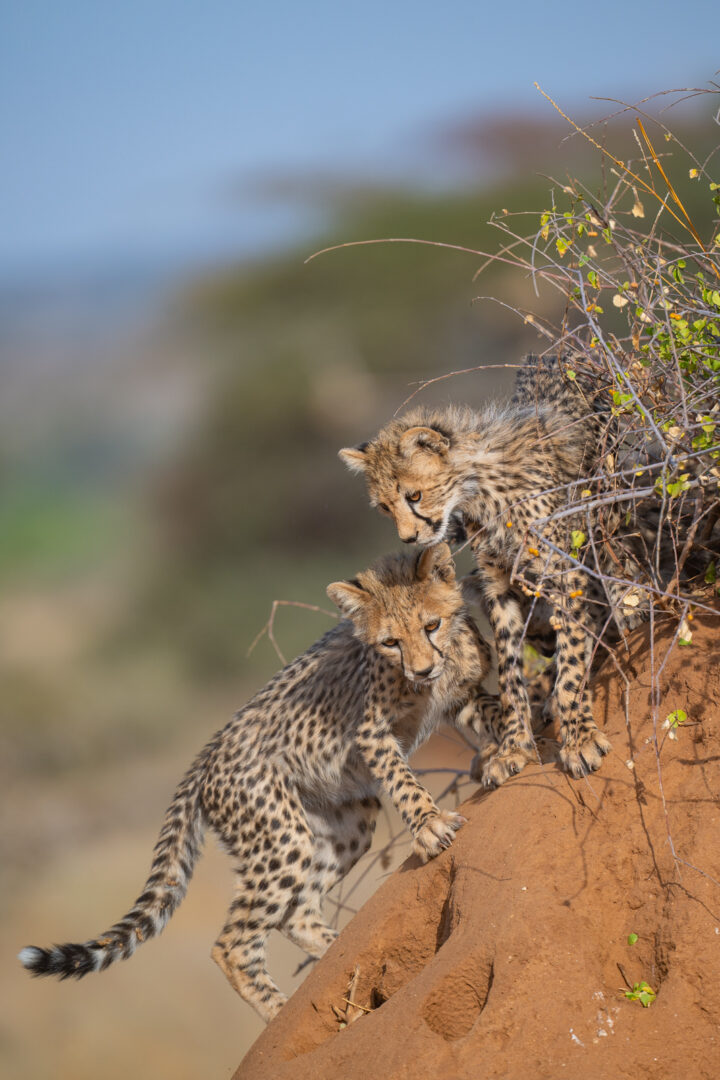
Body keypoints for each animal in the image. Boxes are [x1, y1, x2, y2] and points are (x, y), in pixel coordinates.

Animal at [19, 542, 498, 1023]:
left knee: (296, 912)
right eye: (390, 642)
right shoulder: (371, 732)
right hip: (281, 836)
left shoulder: (460, 696)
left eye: (431, 625)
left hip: (344, 821)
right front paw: (431, 824)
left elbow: (494, 713)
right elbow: (403, 781)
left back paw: (340, 960)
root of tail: (205, 756)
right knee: (232, 944)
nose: (421, 670)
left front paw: (504, 755)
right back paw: (278, 1010)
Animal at [340, 354, 615, 788]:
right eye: (385, 506)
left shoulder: (561, 572)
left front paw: (577, 736)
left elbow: (572, 658)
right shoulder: (498, 587)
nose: (408, 537)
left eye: (414, 495)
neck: (479, 489)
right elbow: (509, 673)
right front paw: (514, 746)